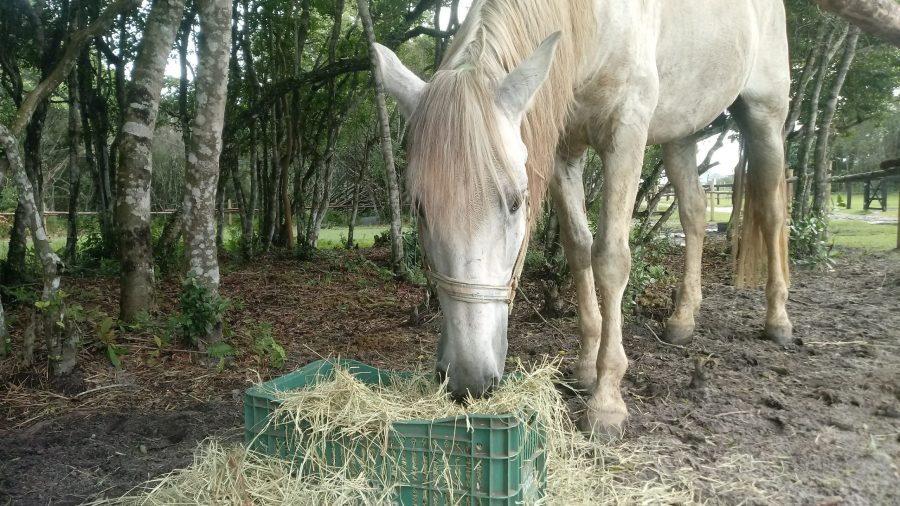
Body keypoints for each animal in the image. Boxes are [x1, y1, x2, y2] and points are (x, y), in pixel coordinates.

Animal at [374, 0, 792, 437]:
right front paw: (587, 368)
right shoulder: (563, 151)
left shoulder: (625, 135)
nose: (468, 379)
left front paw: (606, 399)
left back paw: (778, 320)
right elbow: (578, 249)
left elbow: (610, 257)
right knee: (693, 214)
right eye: (420, 208)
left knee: (772, 214)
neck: (596, 25)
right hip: (682, 129)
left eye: (516, 203)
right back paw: (682, 319)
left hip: (765, 115)